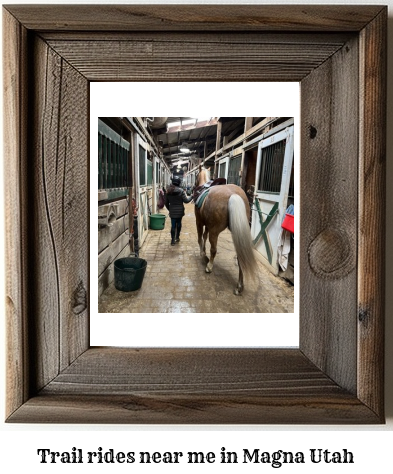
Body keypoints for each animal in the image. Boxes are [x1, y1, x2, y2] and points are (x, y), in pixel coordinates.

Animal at [193, 165, 258, 294]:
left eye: (196, 175)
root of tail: (233, 194)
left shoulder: (200, 222)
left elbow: (200, 238)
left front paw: (203, 254)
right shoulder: (208, 225)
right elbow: (204, 236)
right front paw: (204, 252)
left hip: (215, 231)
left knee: (214, 249)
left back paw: (209, 267)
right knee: (240, 256)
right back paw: (239, 286)